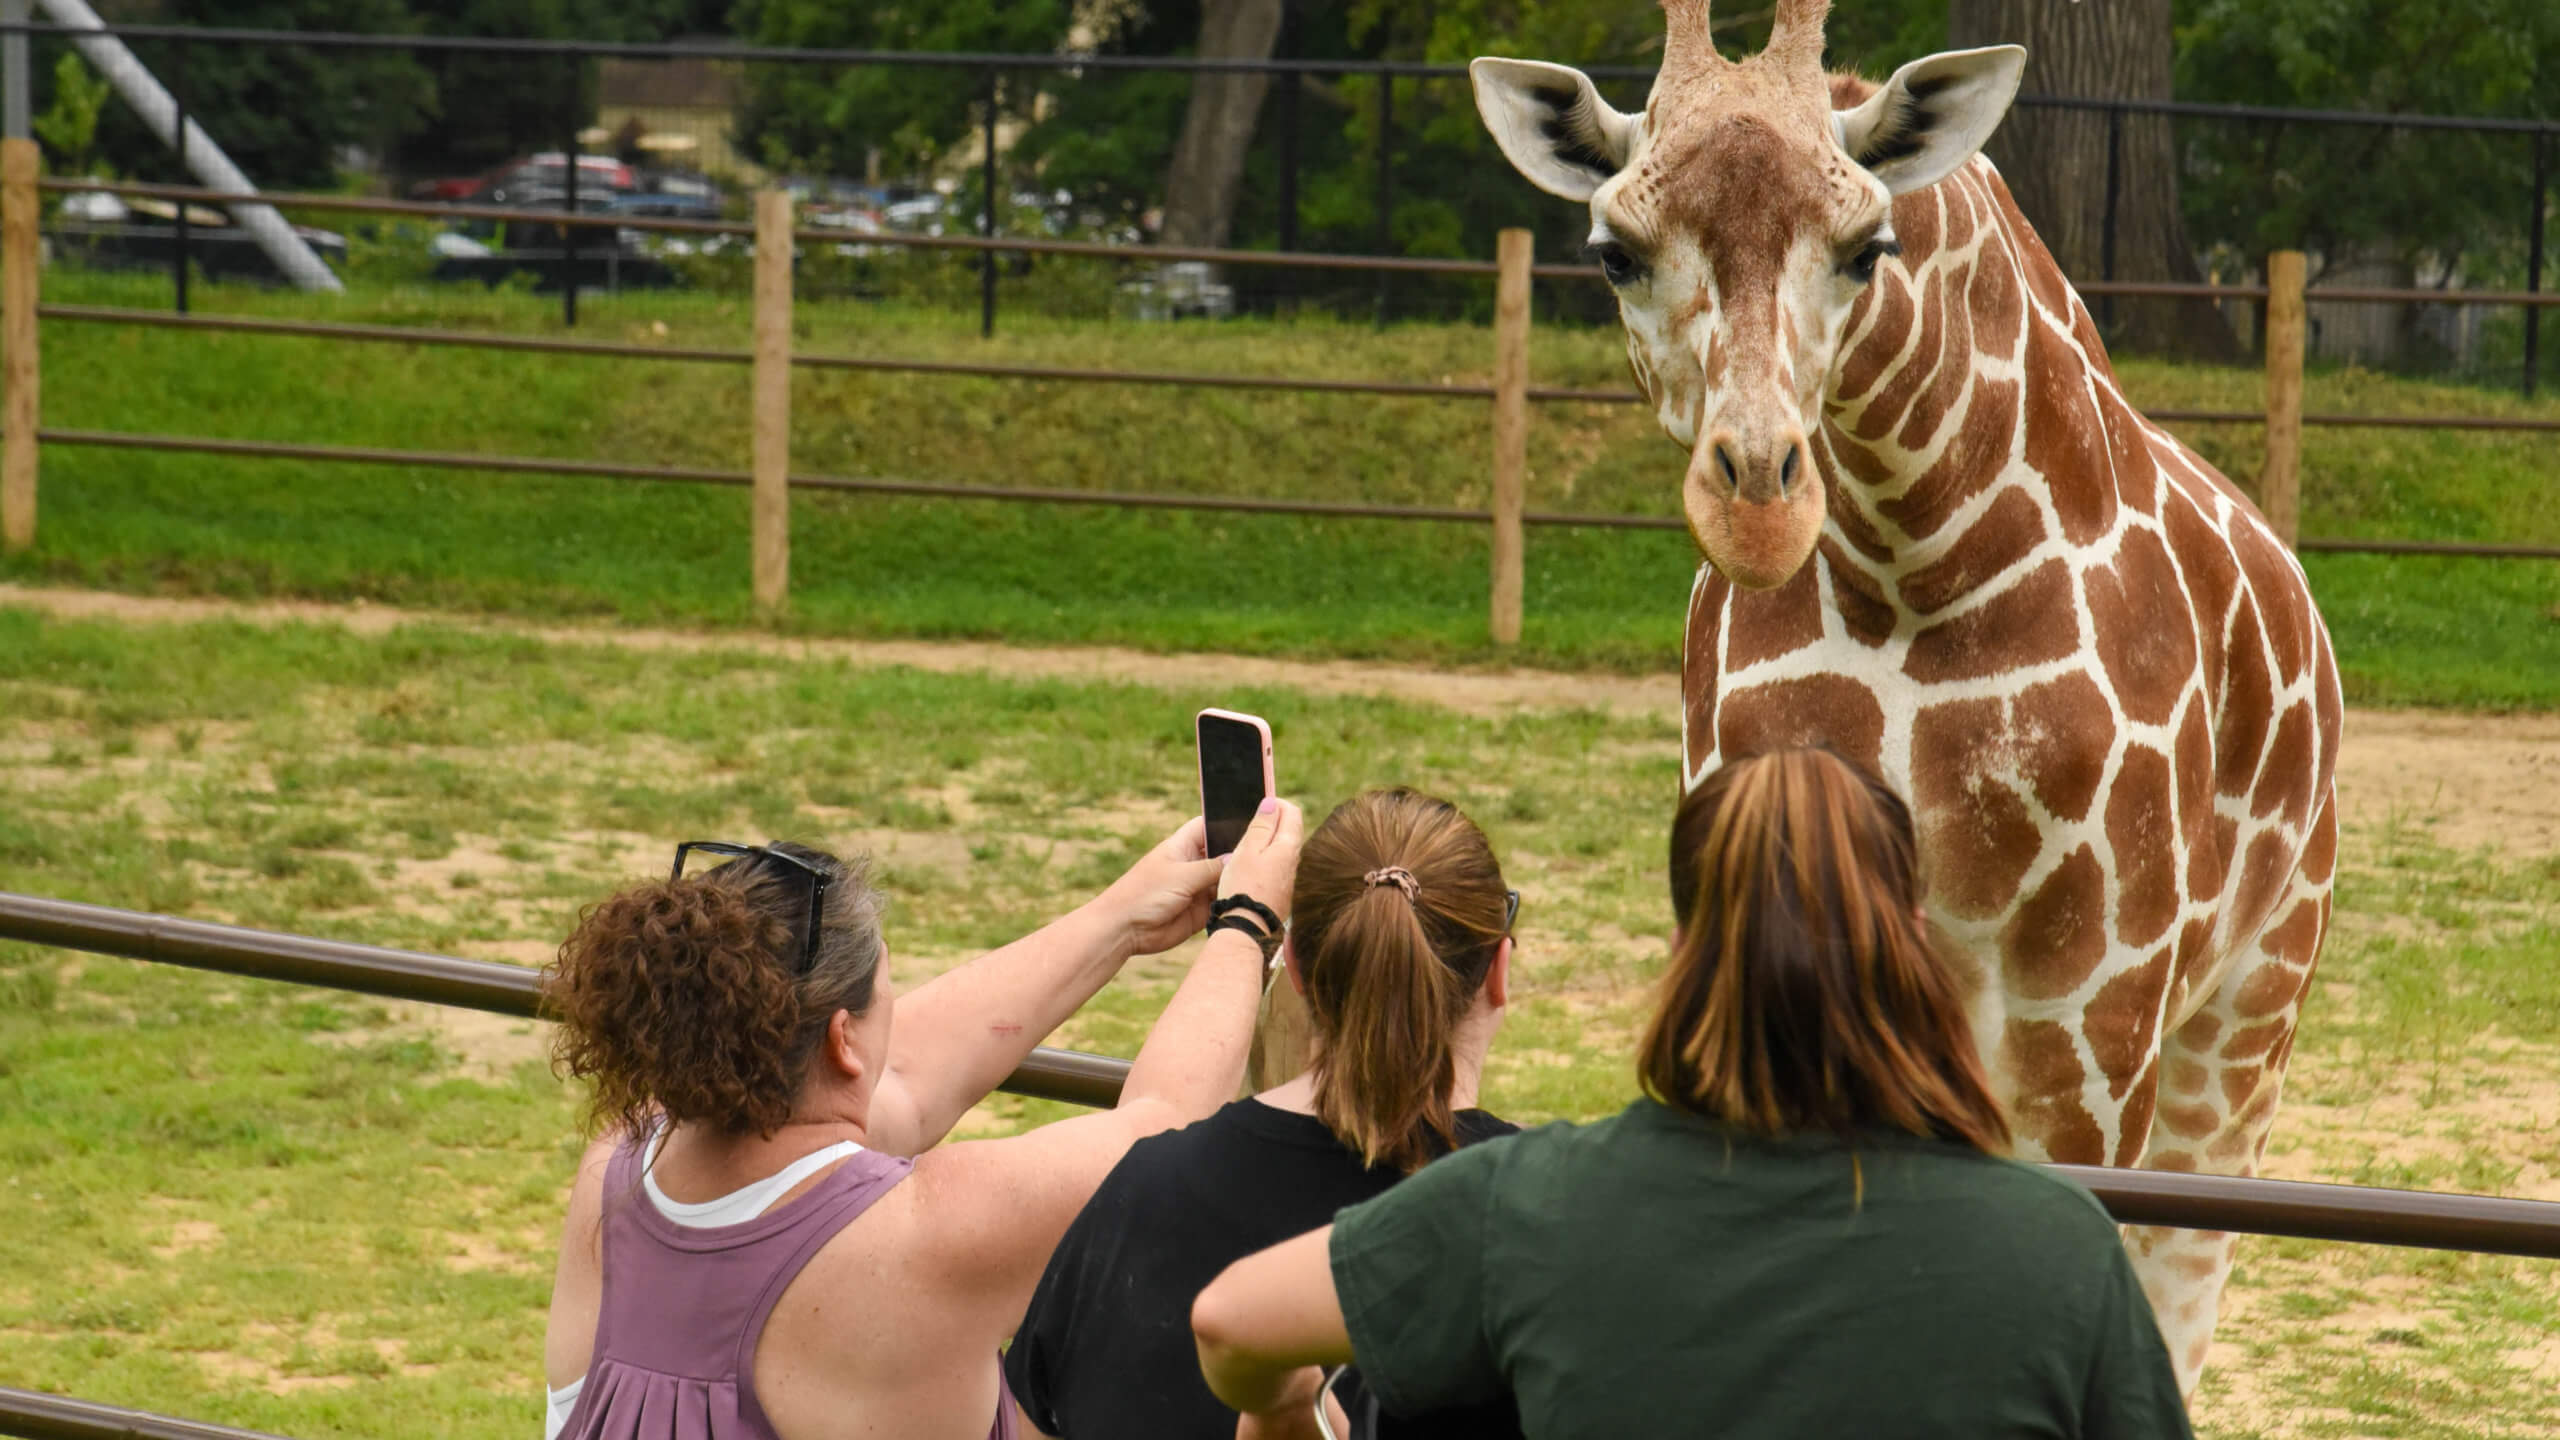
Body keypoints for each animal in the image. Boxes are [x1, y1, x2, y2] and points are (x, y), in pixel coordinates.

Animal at [1484, 0, 2344, 1393]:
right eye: (1614, 254)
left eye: (1866, 245)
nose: (1758, 502)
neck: (1914, 558)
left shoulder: (2087, 1010)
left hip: (2247, 1015)